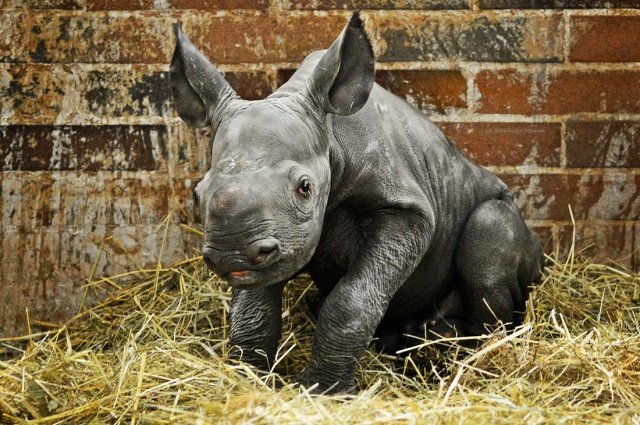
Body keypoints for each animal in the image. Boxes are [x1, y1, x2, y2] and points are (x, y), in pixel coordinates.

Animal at [170, 10, 544, 394]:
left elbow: (353, 298)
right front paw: (249, 379)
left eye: (305, 188)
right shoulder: (281, 237)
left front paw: (322, 390)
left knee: (488, 230)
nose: (231, 256)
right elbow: (254, 307)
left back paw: (470, 355)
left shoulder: (407, 211)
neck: (331, 136)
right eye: (197, 194)